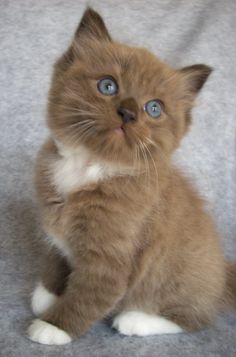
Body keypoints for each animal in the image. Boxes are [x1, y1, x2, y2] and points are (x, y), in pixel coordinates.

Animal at [28, 6, 236, 344]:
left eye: (154, 108)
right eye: (108, 86)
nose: (127, 113)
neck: (90, 166)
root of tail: (221, 273)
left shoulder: (113, 258)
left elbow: (89, 294)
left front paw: (54, 326)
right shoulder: (55, 229)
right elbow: (56, 260)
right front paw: (47, 294)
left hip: (175, 280)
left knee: (195, 318)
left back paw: (136, 320)